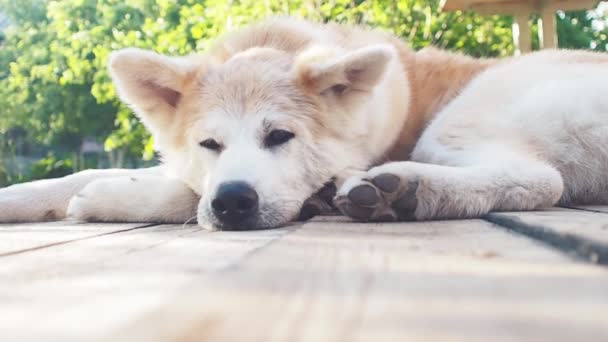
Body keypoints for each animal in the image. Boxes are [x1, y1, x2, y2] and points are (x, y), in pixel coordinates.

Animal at [1, 17, 608, 231]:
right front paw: (21, 199)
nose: (234, 203)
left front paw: (108, 199)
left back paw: (404, 190)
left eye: (280, 137)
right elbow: (76, 176)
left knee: (543, 181)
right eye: (208, 143)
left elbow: (179, 195)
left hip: (459, 119)